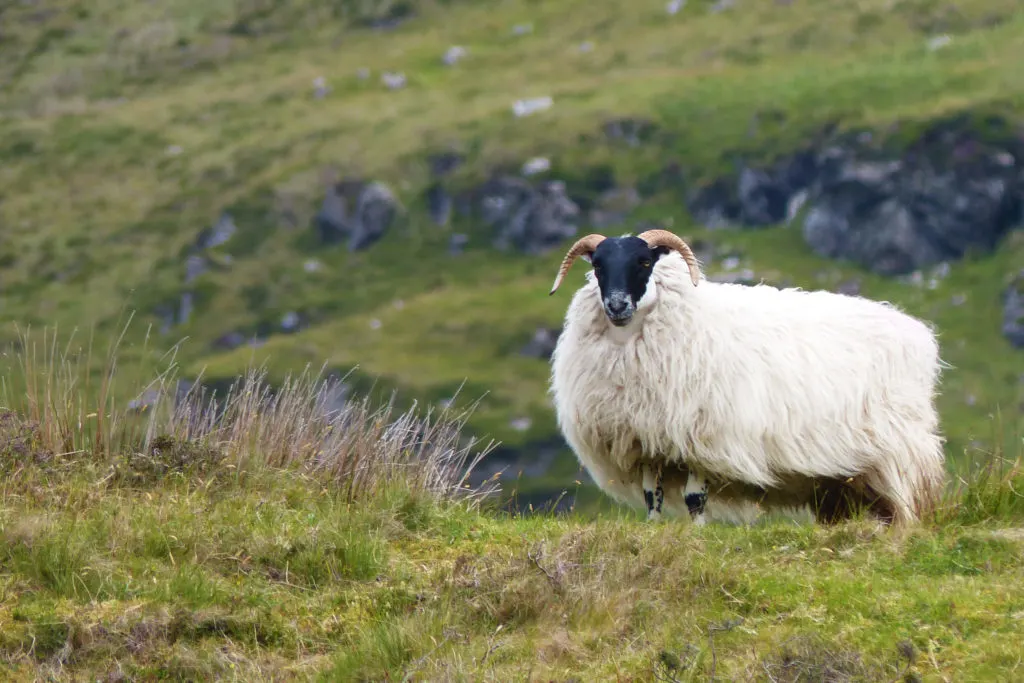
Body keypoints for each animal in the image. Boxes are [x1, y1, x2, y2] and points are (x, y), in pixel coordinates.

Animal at [547, 228, 947, 526]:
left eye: (644, 262)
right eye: (598, 266)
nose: (616, 305)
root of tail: (917, 332)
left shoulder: (700, 437)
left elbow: (695, 498)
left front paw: (697, 534)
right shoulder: (644, 438)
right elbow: (652, 497)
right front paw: (653, 529)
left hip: (899, 455)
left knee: (906, 508)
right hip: (841, 478)